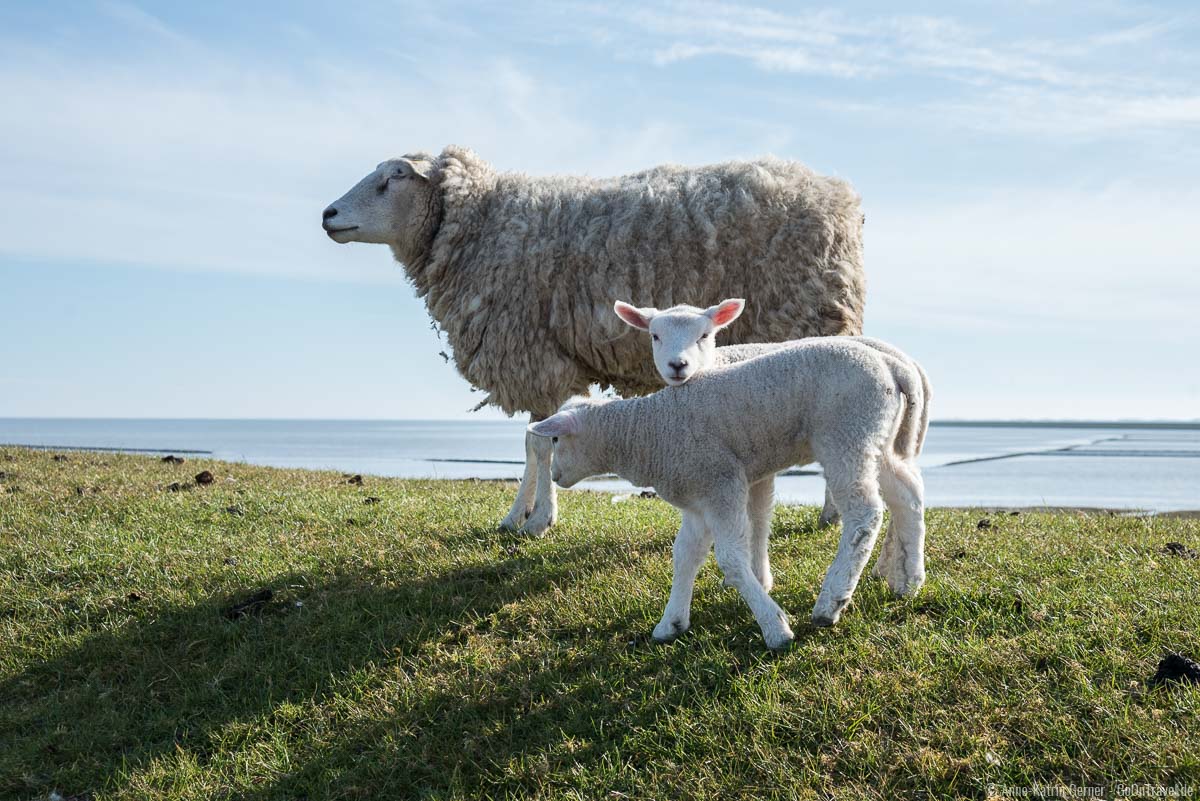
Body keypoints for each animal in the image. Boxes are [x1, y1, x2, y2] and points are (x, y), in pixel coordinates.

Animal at [319, 146, 864, 534]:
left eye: (393, 177)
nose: (328, 215)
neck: (479, 227)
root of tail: (840, 199)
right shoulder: (543, 360)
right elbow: (533, 441)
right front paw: (517, 516)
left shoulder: (536, 355)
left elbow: (539, 442)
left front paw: (538, 520)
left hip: (805, 321)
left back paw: (831, 515)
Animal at [528, 338, 926, 652]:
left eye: (555, 438)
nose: (556, 475)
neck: (647, 432)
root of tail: (892, 366)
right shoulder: (697, 500)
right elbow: (684, 556)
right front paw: (671, 623)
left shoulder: (721, 484)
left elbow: (732, 560)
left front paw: (774, 628)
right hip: (876, 439)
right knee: (908, 496)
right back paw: (910, 581)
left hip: (847, 434)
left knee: (865, 514)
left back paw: (831, 602)